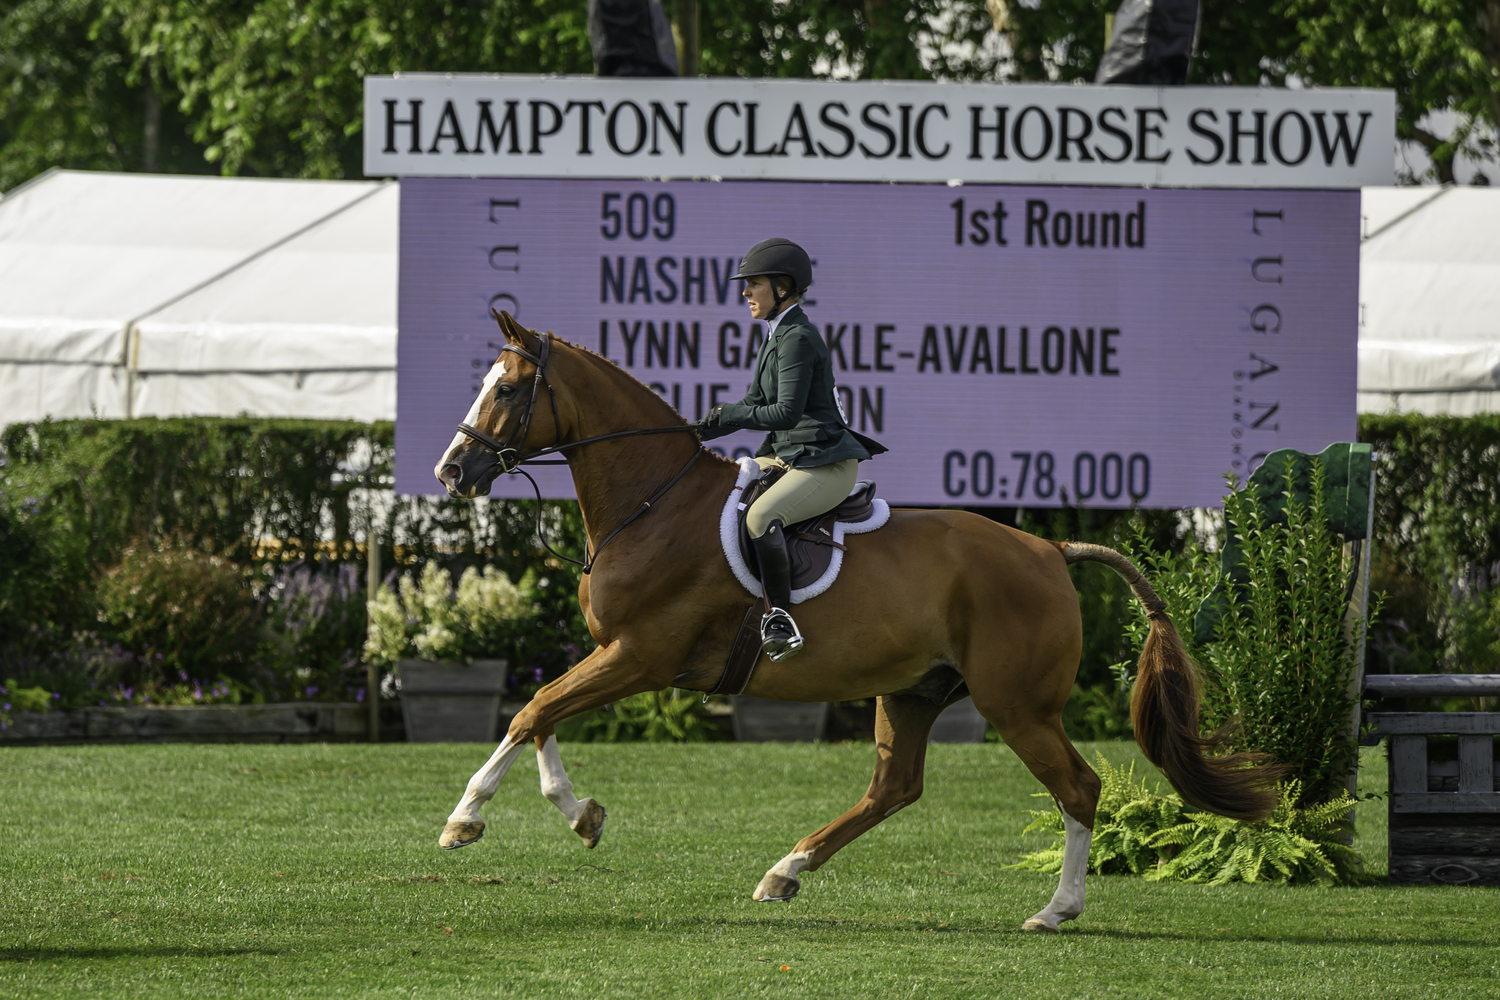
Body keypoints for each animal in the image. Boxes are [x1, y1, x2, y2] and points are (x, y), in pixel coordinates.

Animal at [429, 313, 1272, 929]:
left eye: (508, 390)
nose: (451, 471)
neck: (653, 501)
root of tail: (1049, 550)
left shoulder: (641, 655)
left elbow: (533, 710)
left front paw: (465, 819)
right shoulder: (616, 654)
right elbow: (542, 714)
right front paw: (583, 817)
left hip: (1017, 704)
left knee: (1078, 786)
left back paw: (1055, 910)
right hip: (914, 690)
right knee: (894, 786)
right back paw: (785, 872)